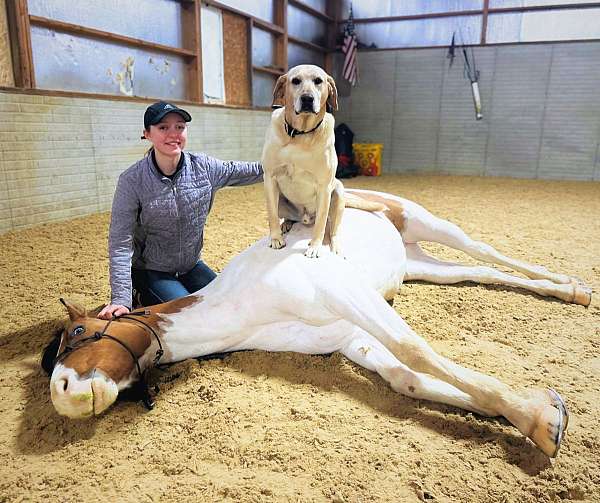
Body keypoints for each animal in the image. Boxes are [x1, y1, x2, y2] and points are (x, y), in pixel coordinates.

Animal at [42, 191, 592, 458]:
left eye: (77, 333)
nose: (64, 392)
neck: (243, 301)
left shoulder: (347, 294)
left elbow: (415, 351)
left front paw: (539, 418)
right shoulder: (350, 338)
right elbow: (409, 379)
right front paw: (530, 415)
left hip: (431, 225)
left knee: (489, 252)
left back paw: (575, 288)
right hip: (422, 264)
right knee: (482, 273)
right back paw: (567, 290)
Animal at [262, 64, 382, 258]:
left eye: (318, 81)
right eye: (295, 81)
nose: (307, 98)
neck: (300, 134)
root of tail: (304, 218)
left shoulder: (324, 186)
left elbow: (321, 223)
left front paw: (314, 247)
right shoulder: (270, 178)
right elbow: (272, 215)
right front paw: (276, 238)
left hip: (338, 193)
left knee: (333, 228)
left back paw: (336, 246)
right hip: (281, 199)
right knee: (288, 217)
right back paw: (286, 224)